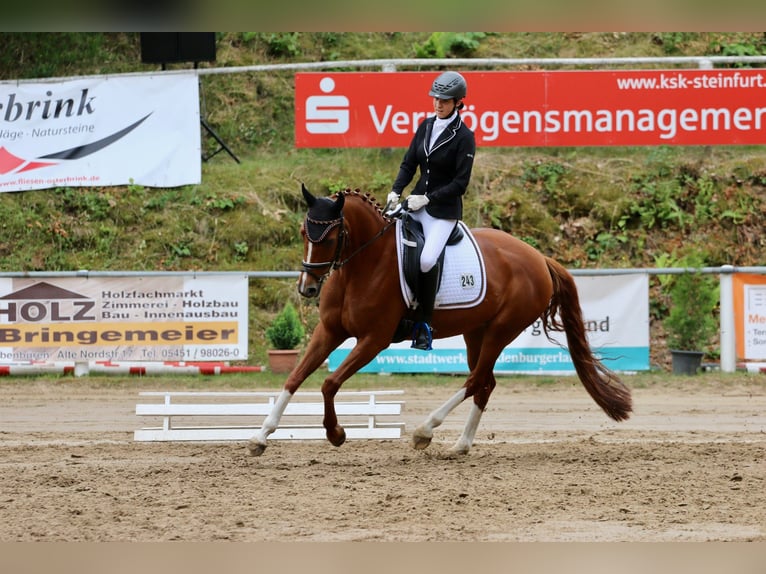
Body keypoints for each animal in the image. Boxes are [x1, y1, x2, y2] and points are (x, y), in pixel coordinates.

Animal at [249, 186, 632, 460]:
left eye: (328, 238)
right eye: (303, 232)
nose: (307, 288)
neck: (363, 264)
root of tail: (538, 257)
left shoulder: (374, 339)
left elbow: (329, 383)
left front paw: (336, 433)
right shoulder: (330, 331)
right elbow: (294, 378)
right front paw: (260, 436)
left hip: (502, 330)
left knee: (476, 379)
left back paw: (425, 430)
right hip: (476, 331)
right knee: (485, 383)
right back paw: (460, 446)